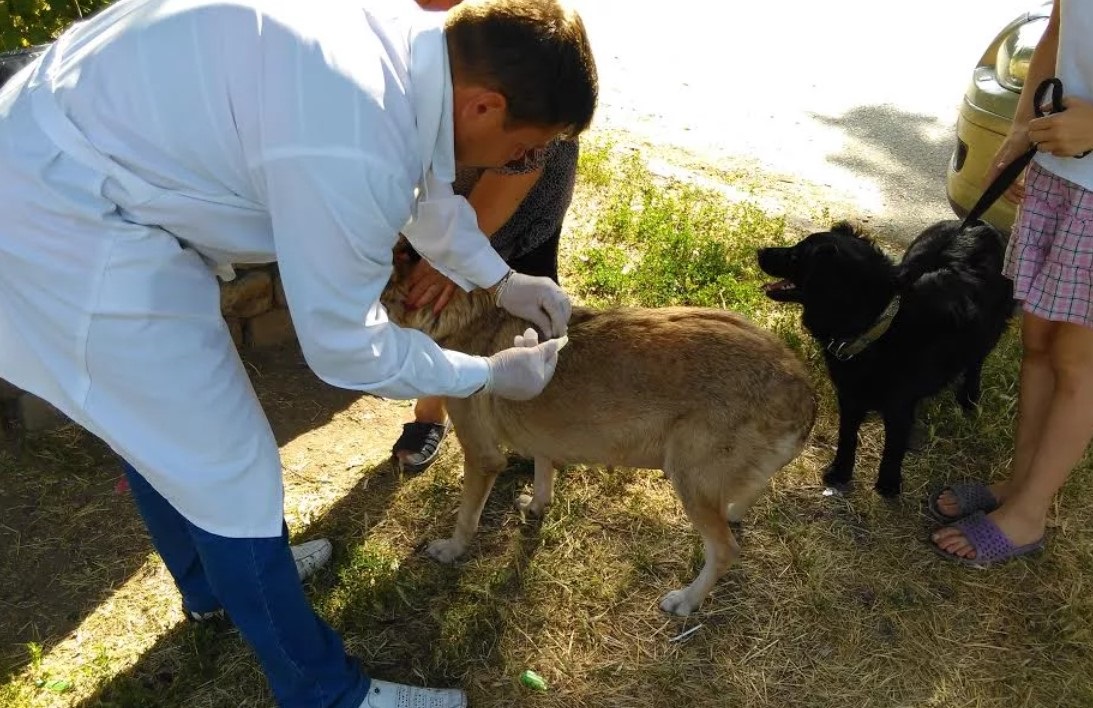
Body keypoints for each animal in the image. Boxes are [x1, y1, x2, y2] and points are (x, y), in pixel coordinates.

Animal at [380, 251, 817, 616]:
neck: (467, 314)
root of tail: (803, 387)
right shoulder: (543, 436)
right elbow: (543, 472)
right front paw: (536, 505)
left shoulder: (482, 457)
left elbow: (466, 518)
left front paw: (452, 550)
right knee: (748, 495)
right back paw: (735, 512)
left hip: (687, 480)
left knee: (725, 550)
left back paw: (687, 600)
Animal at [756, 218, 1009, 496]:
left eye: (795, 256)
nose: (760, 251)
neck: (879, 325)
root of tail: (975, 222)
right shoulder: (850, 394)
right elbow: (847, 436)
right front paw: (840, 472)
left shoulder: (899, 404)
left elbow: (893, 445)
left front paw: (888, 484)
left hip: (989, 333)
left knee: (976, 362)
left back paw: (969, 398)